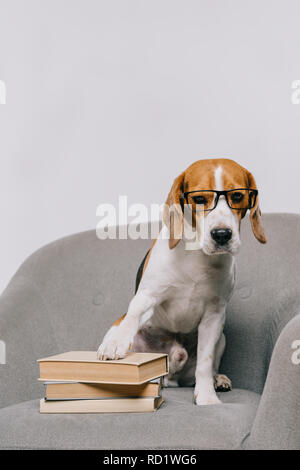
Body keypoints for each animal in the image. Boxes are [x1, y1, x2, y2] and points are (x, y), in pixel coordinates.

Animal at [97, 160, 266, 406]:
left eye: (236, 196)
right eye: (199, 199)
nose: (222, 234)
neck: (197, 253)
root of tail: (171, 378)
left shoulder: (214, 314)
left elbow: (205, 363)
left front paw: (206, 396)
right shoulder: (148, 295)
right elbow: (134, 315)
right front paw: (116, 343)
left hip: (221, 339)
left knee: (203, 369)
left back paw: (217, 379)